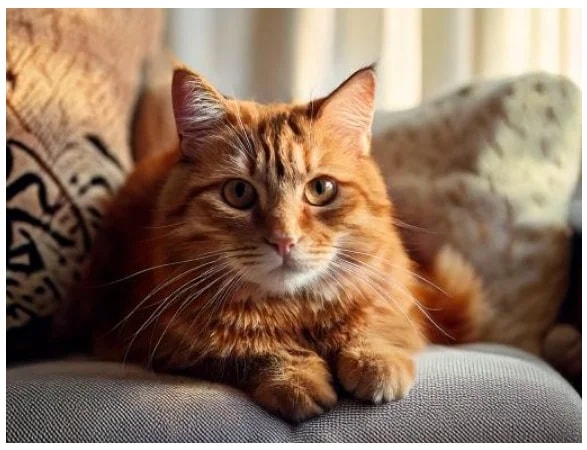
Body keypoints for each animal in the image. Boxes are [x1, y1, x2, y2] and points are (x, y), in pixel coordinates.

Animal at [59, 65, 490, 424]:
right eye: (238, 193)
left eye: (321, 189)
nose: (284, 239)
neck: (295, 312)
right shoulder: (161, 343)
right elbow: (252, 349)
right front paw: (295, 378)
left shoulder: (394, 300)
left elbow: (375, 326)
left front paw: (374, 361)